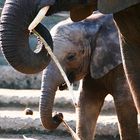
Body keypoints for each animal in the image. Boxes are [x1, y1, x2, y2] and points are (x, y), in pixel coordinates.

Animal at [39, 11, 139, 139]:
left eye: (71, 56)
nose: (58, 115)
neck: (92, 24)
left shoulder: (121, 63)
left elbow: (124, 102)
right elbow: (86, 101)